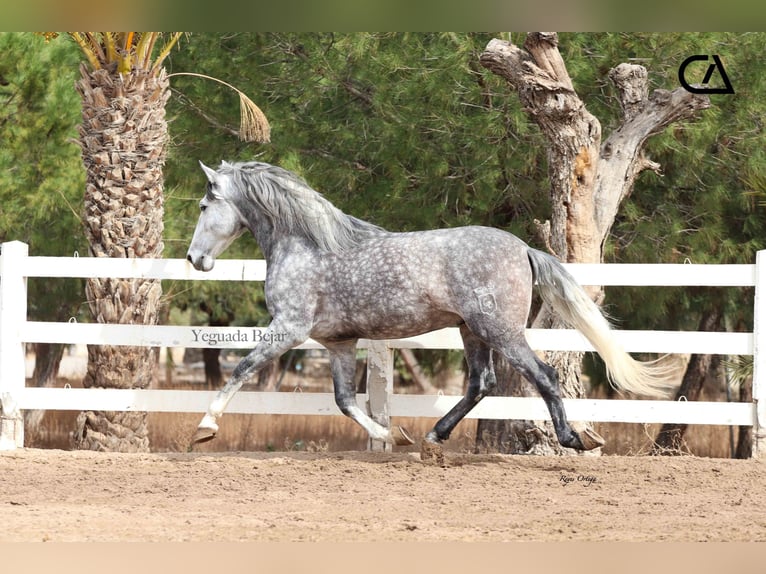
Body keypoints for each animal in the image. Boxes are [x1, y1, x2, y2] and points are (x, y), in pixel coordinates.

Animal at [188, 160, 672, 462]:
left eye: (204, 205)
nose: (195, 259)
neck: (307, 245)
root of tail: (523, 248)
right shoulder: (339, 342)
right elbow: (345, 401)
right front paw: (392, 435)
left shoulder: (289, 328)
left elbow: (242, 368)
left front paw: (204, 429)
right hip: (472, 331)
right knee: (482, 382)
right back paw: (432, 438)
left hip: (499, 330)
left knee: (543, 375)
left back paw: (574, 439)